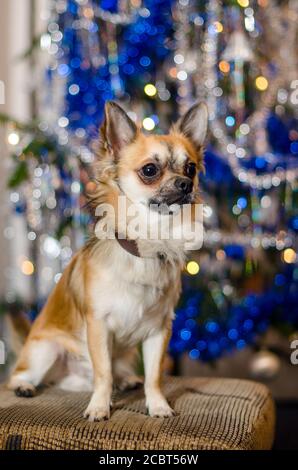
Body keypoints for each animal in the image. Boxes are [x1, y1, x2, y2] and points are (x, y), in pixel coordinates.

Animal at [7, 100, 207, 422]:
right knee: (18, 375)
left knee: (114, 372)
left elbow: (153, 376)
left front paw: (158, 405)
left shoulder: (159, 330)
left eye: (191, 168)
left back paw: (126, 381)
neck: (148, 243)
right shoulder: (99, 326)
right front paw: (99, 406)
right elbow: (103, 374)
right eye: (149, 170)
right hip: (45, 350)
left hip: (124, 354)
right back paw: (25, 386)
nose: (186, 184)